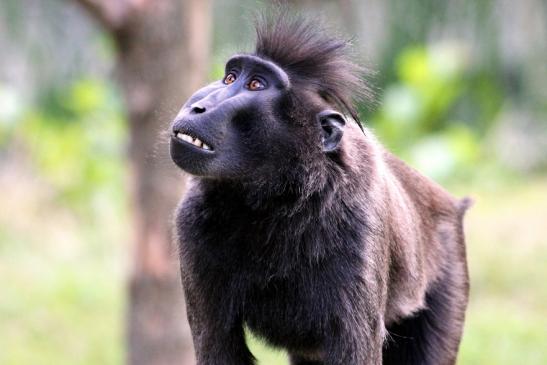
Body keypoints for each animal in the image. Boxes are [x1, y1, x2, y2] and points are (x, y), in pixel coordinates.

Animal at [170, 11, 470, 364]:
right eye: (230, 78)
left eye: (256, 84)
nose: (197, 104)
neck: (275, 204)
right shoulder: (191, 224)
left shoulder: (357, 230)